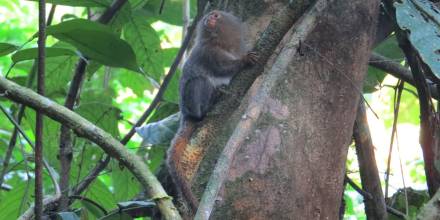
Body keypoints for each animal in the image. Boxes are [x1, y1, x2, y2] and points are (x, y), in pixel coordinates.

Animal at [168, 9, 258, 214]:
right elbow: (222, 68)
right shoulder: (207, 51)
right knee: (200, 82)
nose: (209, 19)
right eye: (209, 17)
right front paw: (243, 61)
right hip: (192, 102)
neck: (220, 42)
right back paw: (208, 106)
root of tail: (186, 113)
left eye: (216, 16)